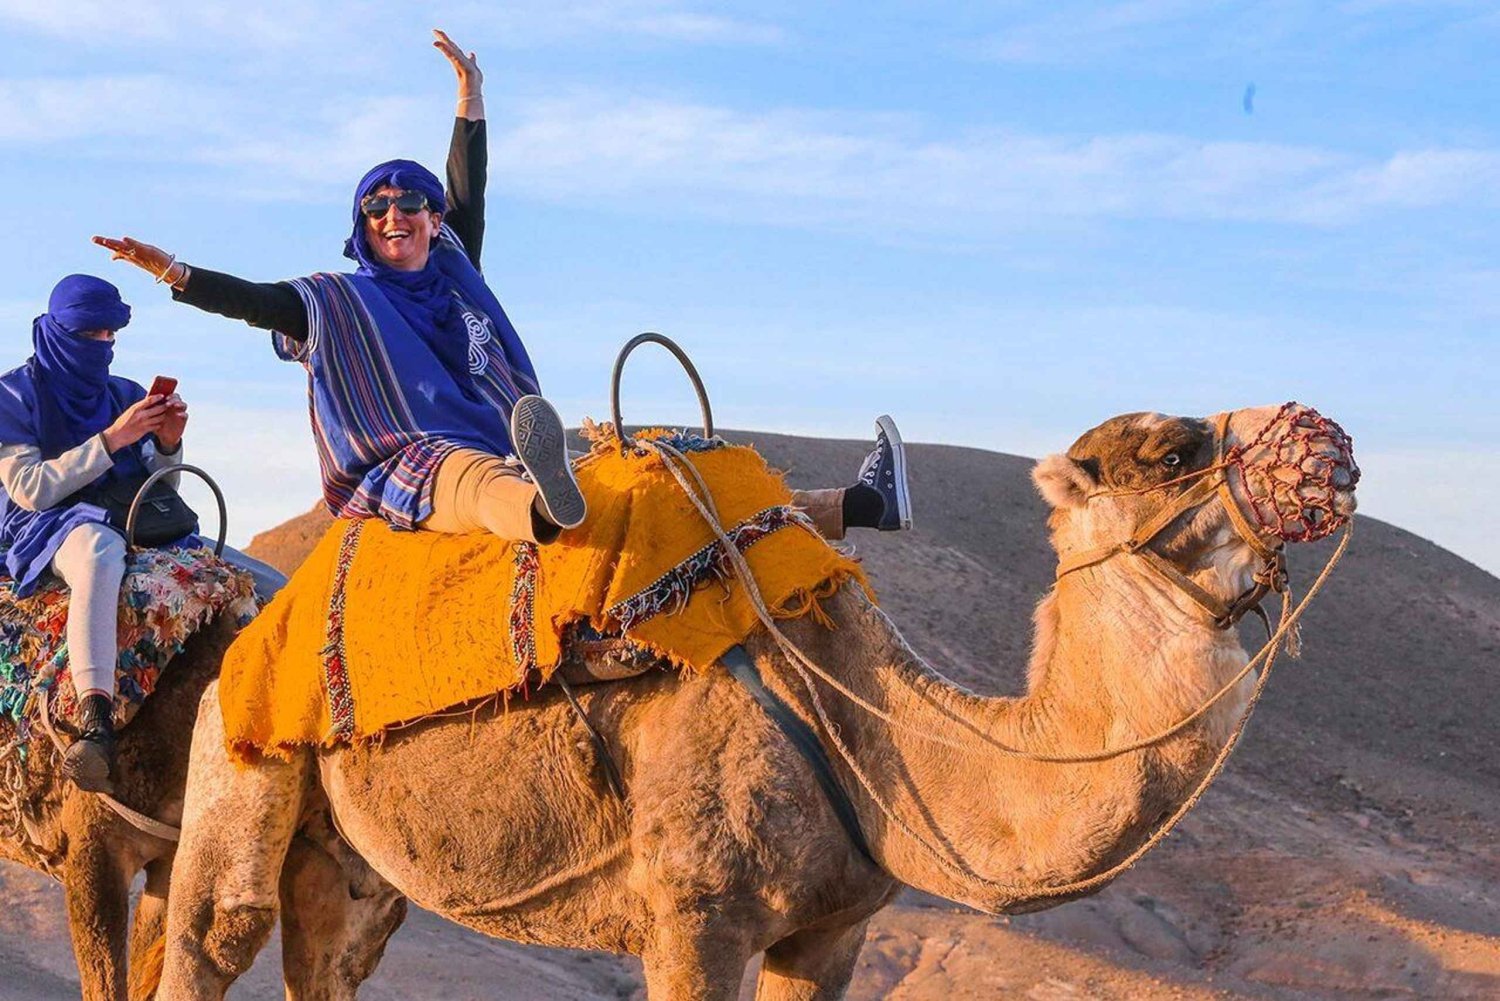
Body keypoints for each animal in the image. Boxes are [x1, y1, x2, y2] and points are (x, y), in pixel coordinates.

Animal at [155, 403, 1359, 1000]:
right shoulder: (695, 915)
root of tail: (267, 604)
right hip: (242, 744)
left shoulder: (832, 931)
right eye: (1173, 447)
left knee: (330, 949)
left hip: (351, 854)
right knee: (215, 933)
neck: (875, 731)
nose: (1331, 445)